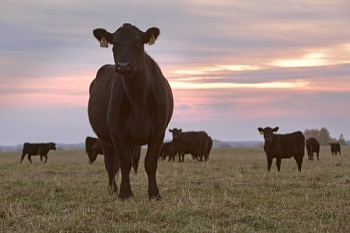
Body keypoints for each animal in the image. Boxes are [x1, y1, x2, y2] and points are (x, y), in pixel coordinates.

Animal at [88, 23, 173, 200]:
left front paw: (154, 194)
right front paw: (125, 193)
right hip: (104, 138)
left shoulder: (159, 130)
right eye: (115, 43)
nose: (123, 65)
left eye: (139, 43)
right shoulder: (116, 131)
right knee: (111, 163)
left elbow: (150, 162)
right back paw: (112, 189)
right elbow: (125, 162)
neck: (137, 97)